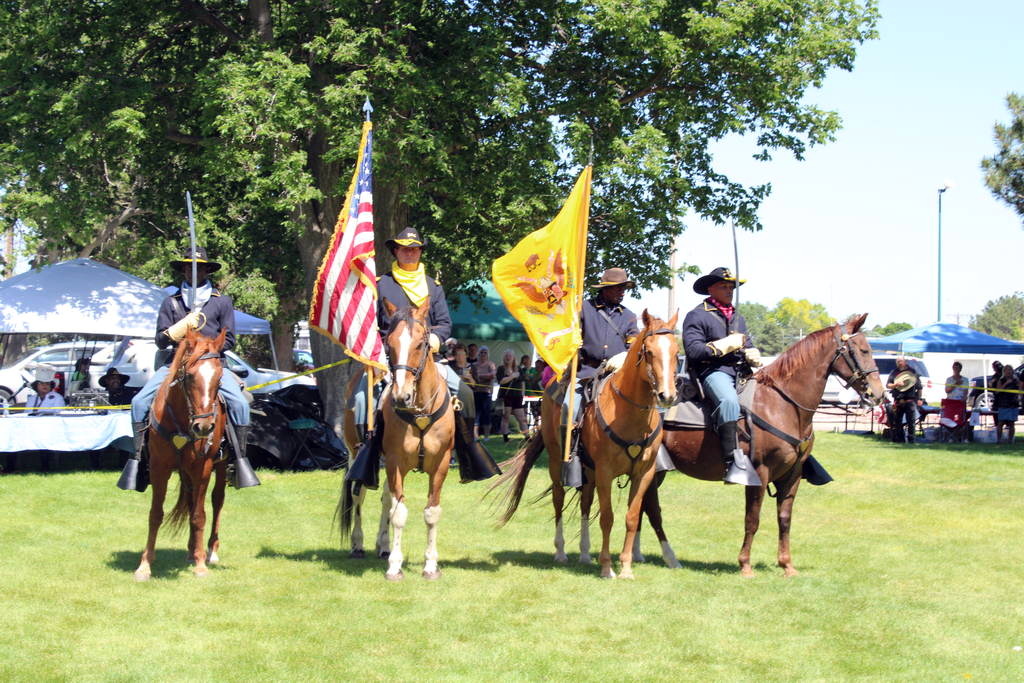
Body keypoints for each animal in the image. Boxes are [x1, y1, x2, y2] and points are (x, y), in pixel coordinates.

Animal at [133, 327, 230, 581]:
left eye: (219, 378)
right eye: (190, 376)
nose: (204, 427)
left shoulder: (203, 468)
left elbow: (199, 515)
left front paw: (201, 565)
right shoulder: (160, 468)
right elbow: (156, 514)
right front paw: (145, 565)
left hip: (220, 466)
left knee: (217, 500)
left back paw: (210, 552)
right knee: (191, 499)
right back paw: (191, 550)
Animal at [377, 297, 456, 580]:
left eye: (421, 343)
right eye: (389, 343)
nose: (401, 396)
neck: (420, 410)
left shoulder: (441, 465)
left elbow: (431, 513)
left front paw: (431, 565)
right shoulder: (395, 464)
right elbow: (399, 513)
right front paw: (394, 566)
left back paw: (382, 546)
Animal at [496, 310, 680, 578]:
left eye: (676, 352)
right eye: (648, 351)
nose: (667, 396)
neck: (629, 413)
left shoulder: (643, 474)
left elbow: (632, 517)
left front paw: (626, 567)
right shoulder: (605, 471)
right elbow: (607, 517)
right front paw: (606, 567)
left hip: (588, 470)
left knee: (585, 502)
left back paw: (584, 553)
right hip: (557, 462)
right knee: (559, 499)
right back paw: (561, 551)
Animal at [657, 312, 884, 577]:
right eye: (863, 350)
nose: (879, 394)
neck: (783, 404)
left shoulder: (792, 474)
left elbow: (784, 518)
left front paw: (787, 565)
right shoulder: (760, 472)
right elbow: (752, 519)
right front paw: (745, 564)